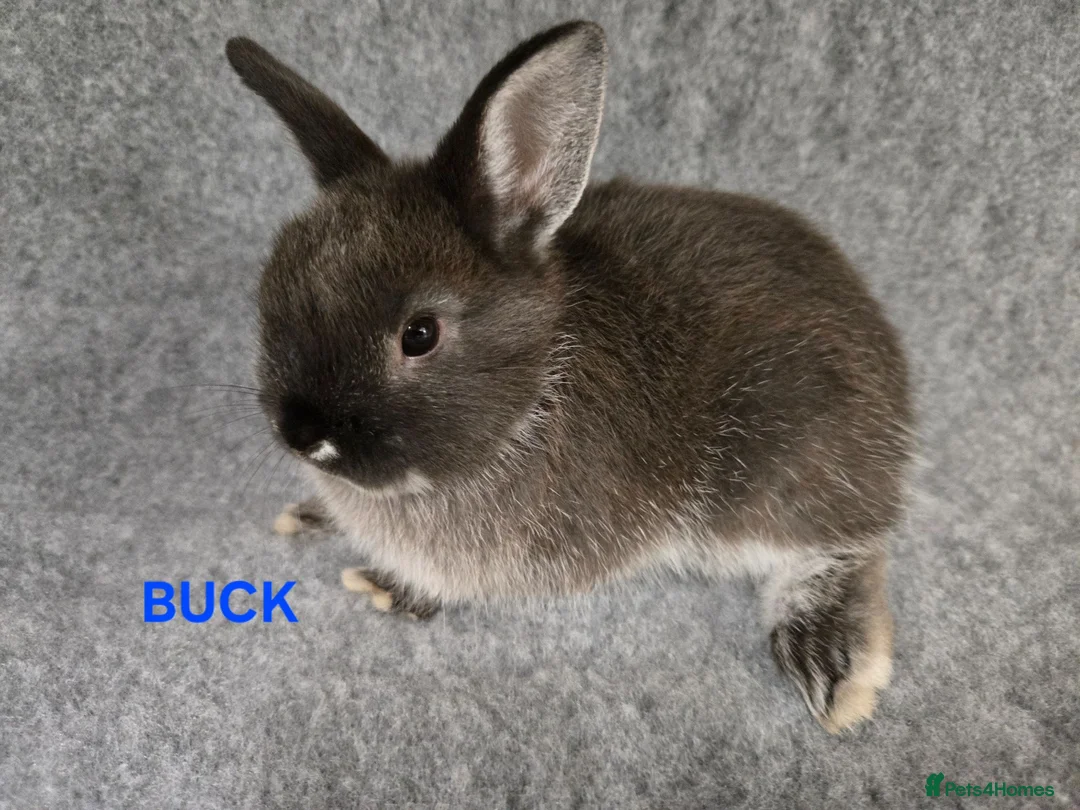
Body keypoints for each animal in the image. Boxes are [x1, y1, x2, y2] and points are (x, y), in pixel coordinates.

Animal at [225, 20, 913, 733]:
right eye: (273, 289)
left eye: (419, 335)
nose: (302, 434)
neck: (530, 398)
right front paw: (315, 516)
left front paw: (390, 588)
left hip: (782, 474)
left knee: (847, 546)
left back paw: (834, 666)